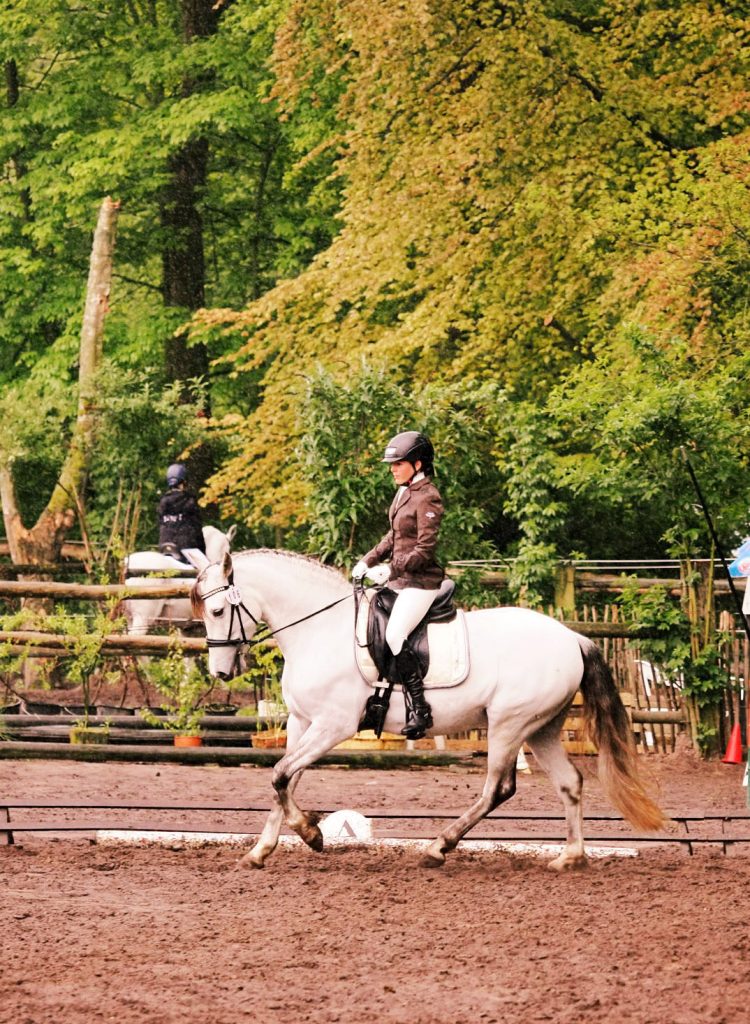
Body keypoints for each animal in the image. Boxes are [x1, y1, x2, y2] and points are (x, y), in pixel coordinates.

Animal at [190, 548, 663, 868]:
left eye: (217, 610)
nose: (221, 671)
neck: (319, 630)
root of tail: (572, 637)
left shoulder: (333, 725)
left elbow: (280, 775)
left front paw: (312, 834)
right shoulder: (302, 722)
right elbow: (283, 780)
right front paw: (261, 851)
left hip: (509, 724)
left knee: (497, 789)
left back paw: (438, 847)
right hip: (541, 728)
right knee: (570, 783)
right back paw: (571, 857)